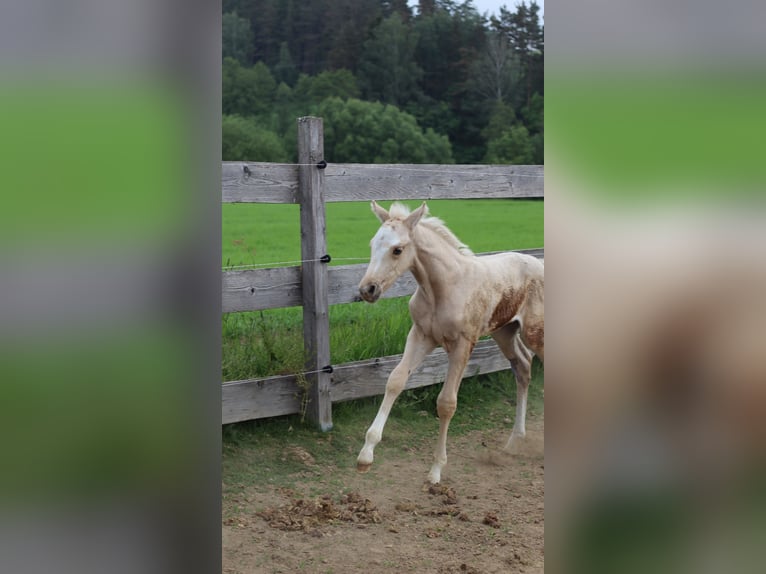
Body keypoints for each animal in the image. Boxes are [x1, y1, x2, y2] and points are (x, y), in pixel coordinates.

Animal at [356, 202, 544, 486]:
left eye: (397, 249)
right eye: (372, 244)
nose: (368, 289)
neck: (443, 287)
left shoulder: (462, 345)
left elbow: (446, 403)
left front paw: (435, 470)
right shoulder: (421, 335)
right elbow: (395, 381)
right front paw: (366, 455)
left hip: (536, 332)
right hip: (505, 332)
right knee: (522, 366)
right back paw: (514, 441)